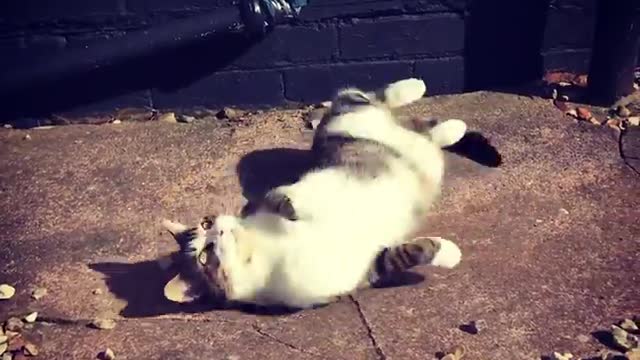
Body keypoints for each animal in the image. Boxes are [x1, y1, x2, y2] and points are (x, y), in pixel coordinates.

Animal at [162, 78, 468, 310]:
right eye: (204, 257)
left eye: (206, 223)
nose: (219, 230)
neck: (261, 249)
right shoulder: (363, 268)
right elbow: (403, 255)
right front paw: (450, 253)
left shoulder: (273, 197)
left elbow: (281, 198)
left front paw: (293, 209)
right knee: (421, 133)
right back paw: (450, 129)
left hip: (347, 122)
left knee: (359, 97)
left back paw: (416, 89)